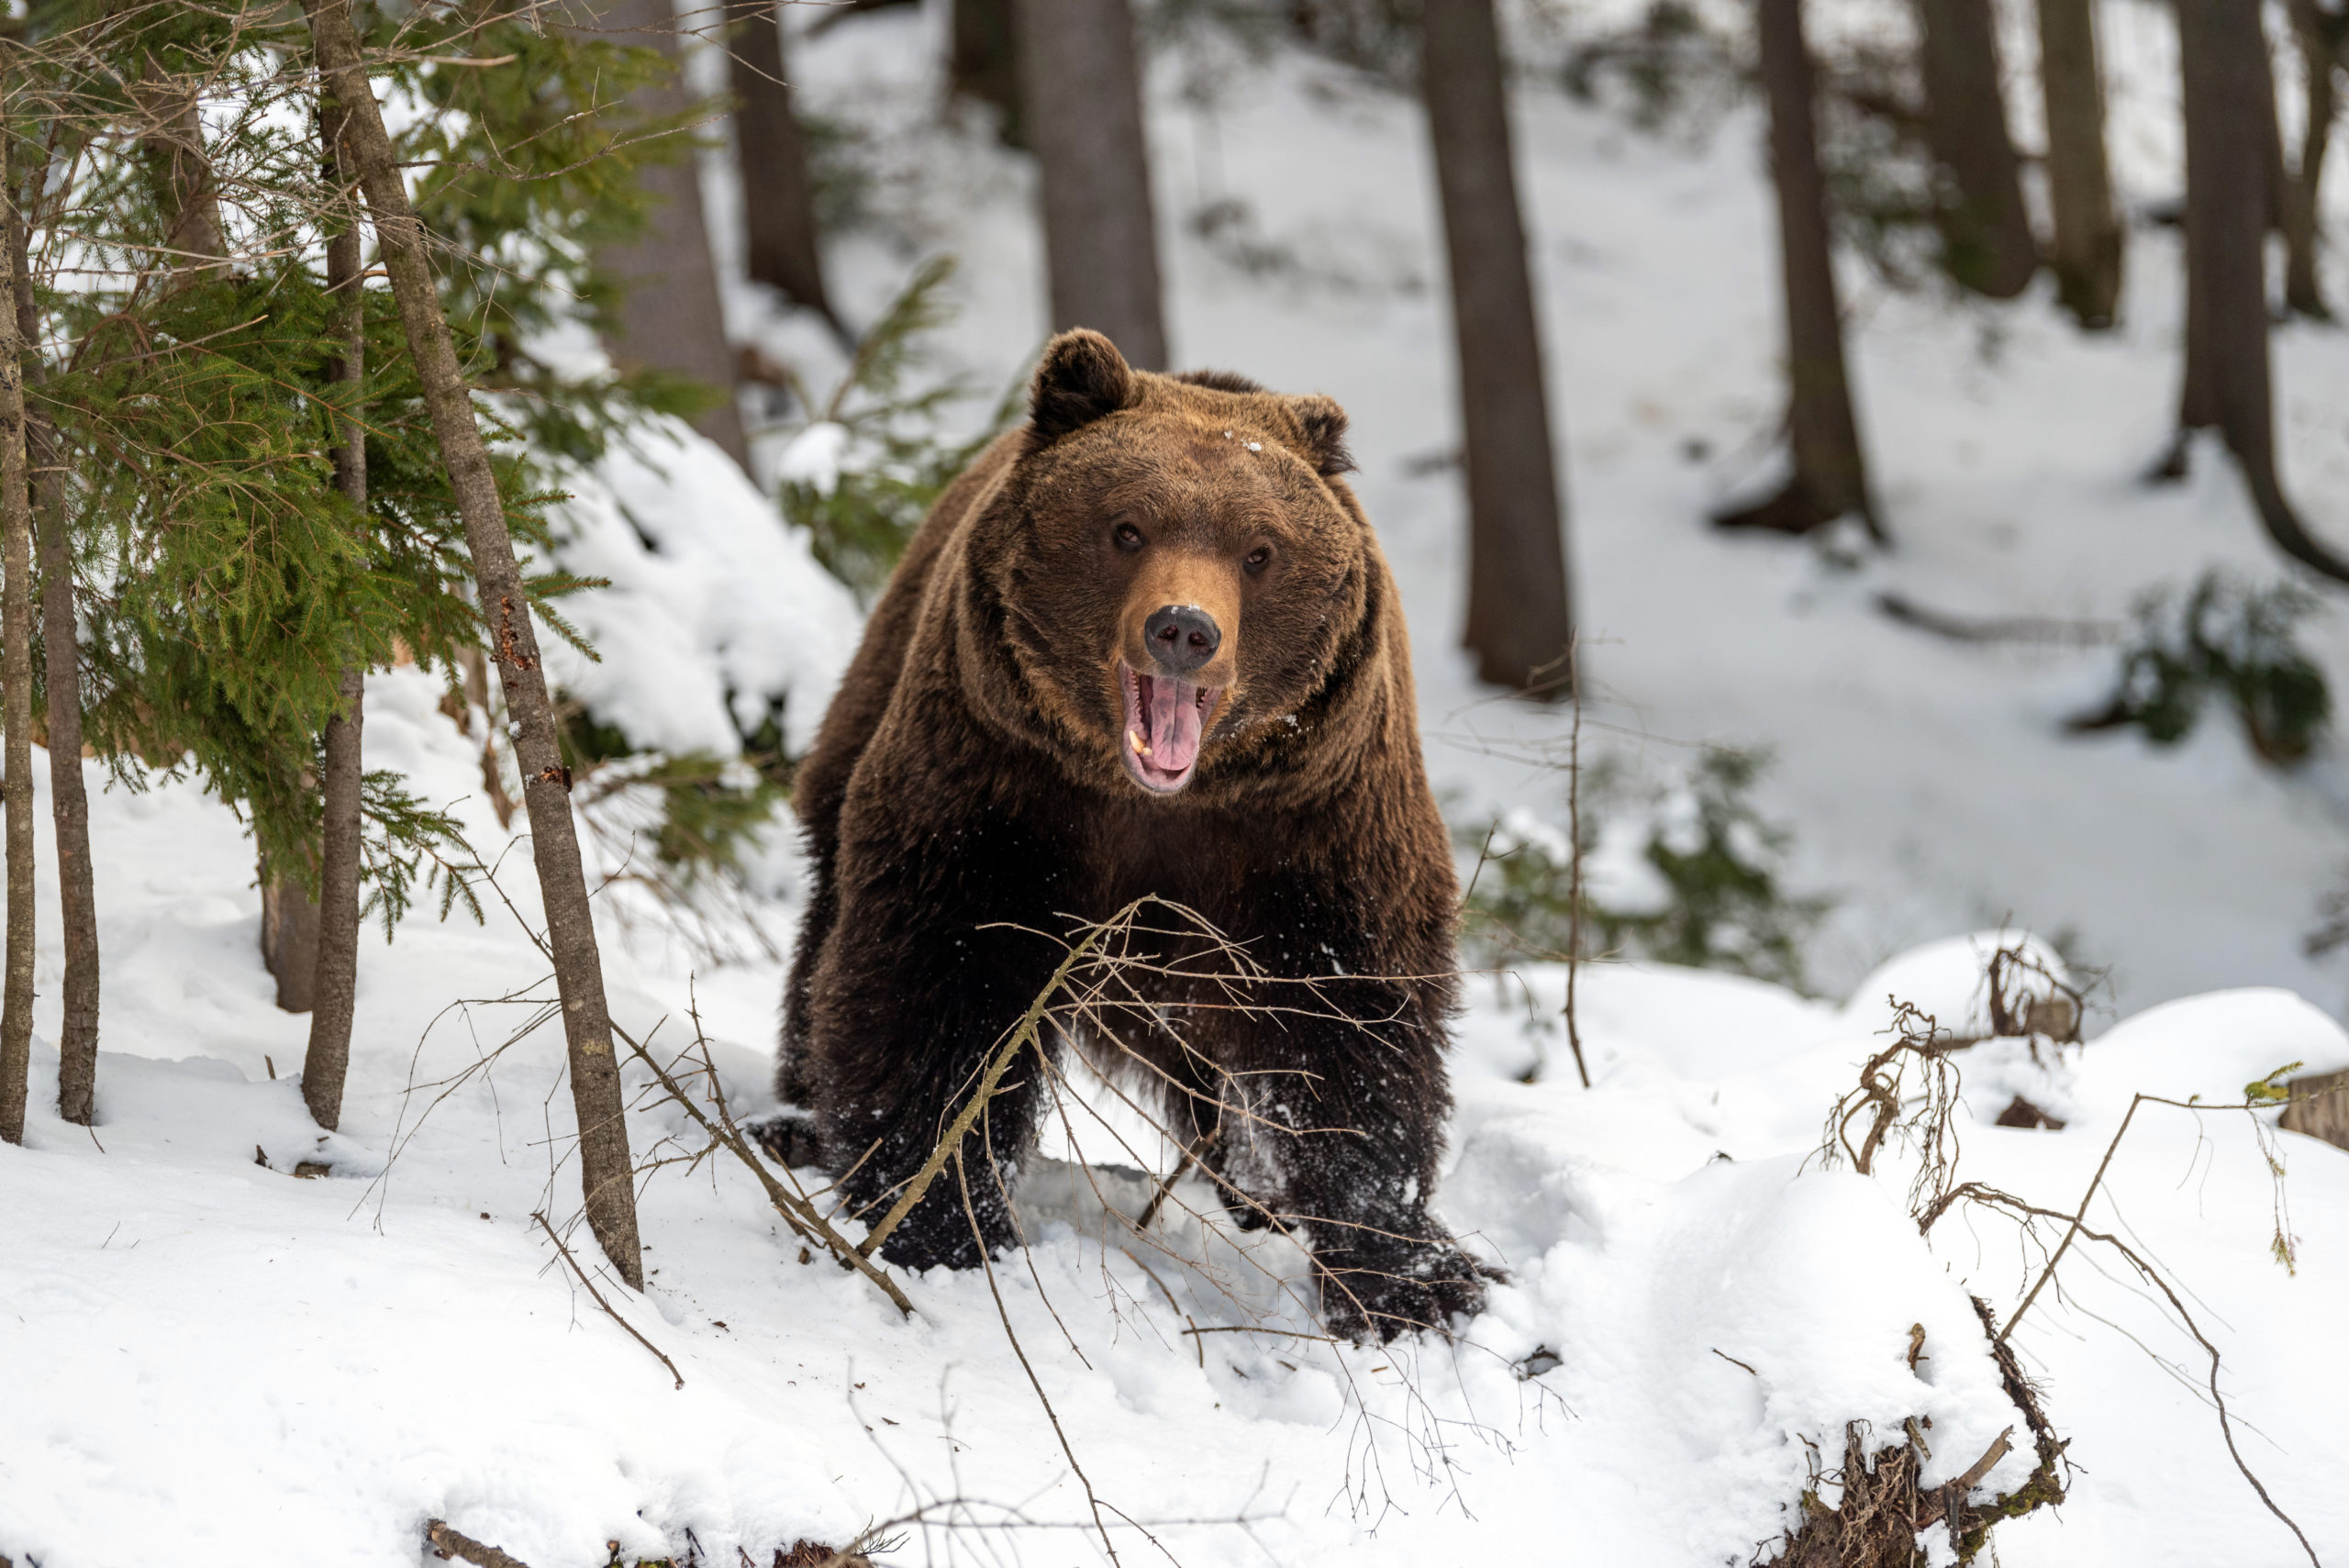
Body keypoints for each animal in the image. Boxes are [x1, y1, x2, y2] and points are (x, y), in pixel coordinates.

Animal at [785, 328, 1484, 1333]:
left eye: (1259, 549)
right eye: (1127, 528)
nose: (1183, 629)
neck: (1157, 799)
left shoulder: (1311, 827)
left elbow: (1354, 1028)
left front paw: (1410, 1279)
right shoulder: (1001, 795)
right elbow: (937, 987)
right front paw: (938, 1218)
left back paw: (1255, 1189)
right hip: (878, 690)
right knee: (828, 915)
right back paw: (795, 1112)